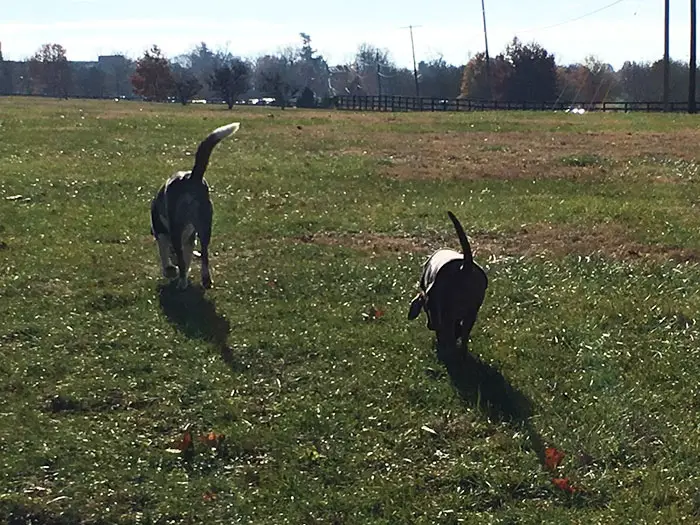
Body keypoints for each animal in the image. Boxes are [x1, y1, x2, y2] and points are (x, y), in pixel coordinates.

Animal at [149, 122, 239, 288]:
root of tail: (191, 177)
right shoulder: (191, 239)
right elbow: (187, 258)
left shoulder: (163, 235)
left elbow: (168, 256)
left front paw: (171, 271)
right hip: (205, 227)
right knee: (205, 254)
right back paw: (205, 279)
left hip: (178, 227)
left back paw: (182, 282)